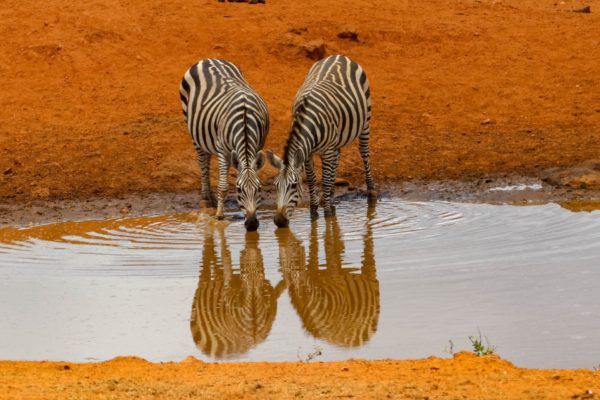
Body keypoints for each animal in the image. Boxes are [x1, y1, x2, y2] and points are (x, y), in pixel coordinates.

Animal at [179, 57, 268, 230]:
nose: (252, 224)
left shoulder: (258, 145)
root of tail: (208, 59)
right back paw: (206, 198)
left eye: (259, 189)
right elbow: (223, 186)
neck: (245, 119)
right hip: (193, 130)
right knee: (203, 163)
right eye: (239, 190)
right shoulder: (223, 151)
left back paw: (211, 197)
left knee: (207, 159)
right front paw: (219, 215)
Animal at [268, 54, 376, 228]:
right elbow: (312, 180)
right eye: (275, 186)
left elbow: (324, 181)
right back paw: (330, 195)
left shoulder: (326, 151)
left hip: (365, 119)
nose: (279, 221)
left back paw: (371, 191)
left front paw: (327, 213)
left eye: (293, 186)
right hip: (337, 138)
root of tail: (338, 55)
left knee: (364, 153)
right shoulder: (307, 153)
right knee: (336, 161)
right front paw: (314, 211)